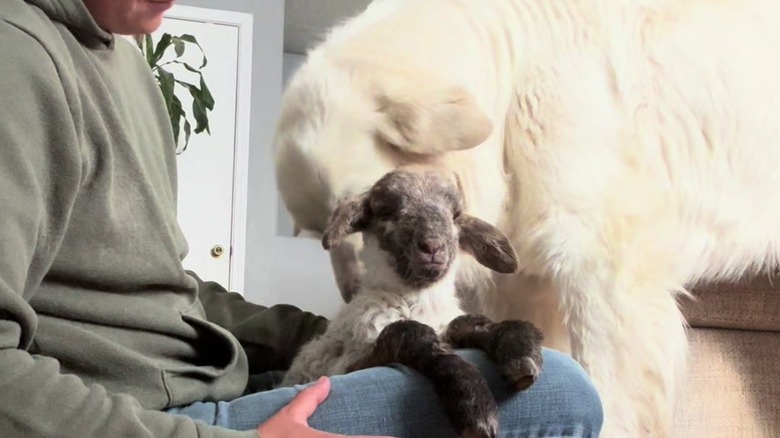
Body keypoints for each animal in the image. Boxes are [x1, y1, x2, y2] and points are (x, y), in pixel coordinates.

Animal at [278, 168, 544, 438]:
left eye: (456, 215)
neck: (416, 300)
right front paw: (476, 405)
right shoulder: (350, 365)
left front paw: (520, 352)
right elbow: (410, 333)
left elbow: (467, 322)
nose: (433, 246)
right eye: (385, 211)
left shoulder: (446, 323)